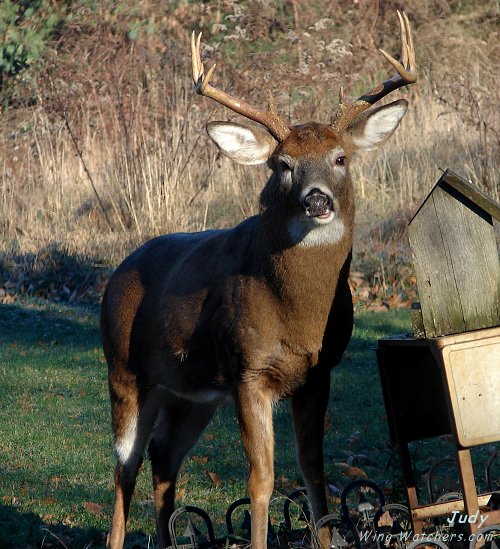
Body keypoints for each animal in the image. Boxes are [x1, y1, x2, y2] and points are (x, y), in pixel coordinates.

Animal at [100, 10, 414, 544]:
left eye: (340, 158)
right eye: (282, 164)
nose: (316, 199)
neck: (297, 314)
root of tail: (116, 274)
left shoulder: (318, 372)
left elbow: (313, 468)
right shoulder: (248, 370)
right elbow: (262, 478)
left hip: (189, 391)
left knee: (163, 455)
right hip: (122, 370)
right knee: (126, 464)